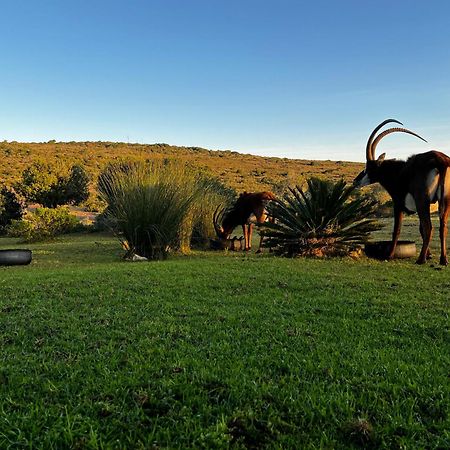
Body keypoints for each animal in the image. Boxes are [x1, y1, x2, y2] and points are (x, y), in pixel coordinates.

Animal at [356, 119, 450, 268]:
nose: (356, 181)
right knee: (442, 227)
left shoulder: (398, 204)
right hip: (445, 201)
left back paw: (421, 259)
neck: (399, 172)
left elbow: (397, 230)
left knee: (429, 227)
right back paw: (443, 259)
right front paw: (429, 255)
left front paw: (389, 255)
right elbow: (420, 229)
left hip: (422, 200)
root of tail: (440, 160)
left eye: (368, 167)